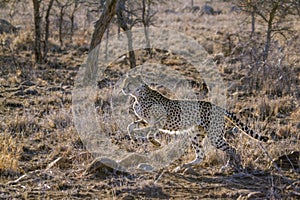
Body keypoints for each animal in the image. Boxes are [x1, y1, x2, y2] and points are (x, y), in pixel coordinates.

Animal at [120, 74, 268, 170]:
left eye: (129, 83)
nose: (123, 88)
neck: (138, 95)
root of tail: (217, 106)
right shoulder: (145, 120)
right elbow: (130, 126)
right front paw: (135, 136)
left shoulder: (160, 119)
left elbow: (148, 132)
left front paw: (155, 142)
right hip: (196, 134)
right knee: (201, 154)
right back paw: (185, 166)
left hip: (214, 136)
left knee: (232, 148)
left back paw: (230, 166)